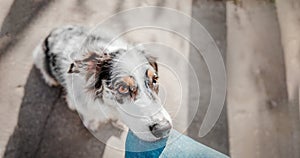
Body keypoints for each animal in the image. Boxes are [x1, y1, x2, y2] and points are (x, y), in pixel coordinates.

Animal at [33, 25, 172, 141]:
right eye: (122, 88)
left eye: (155, 79)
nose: (163, 129)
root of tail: (54, 31)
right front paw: (91, 124)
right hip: (40, 57)